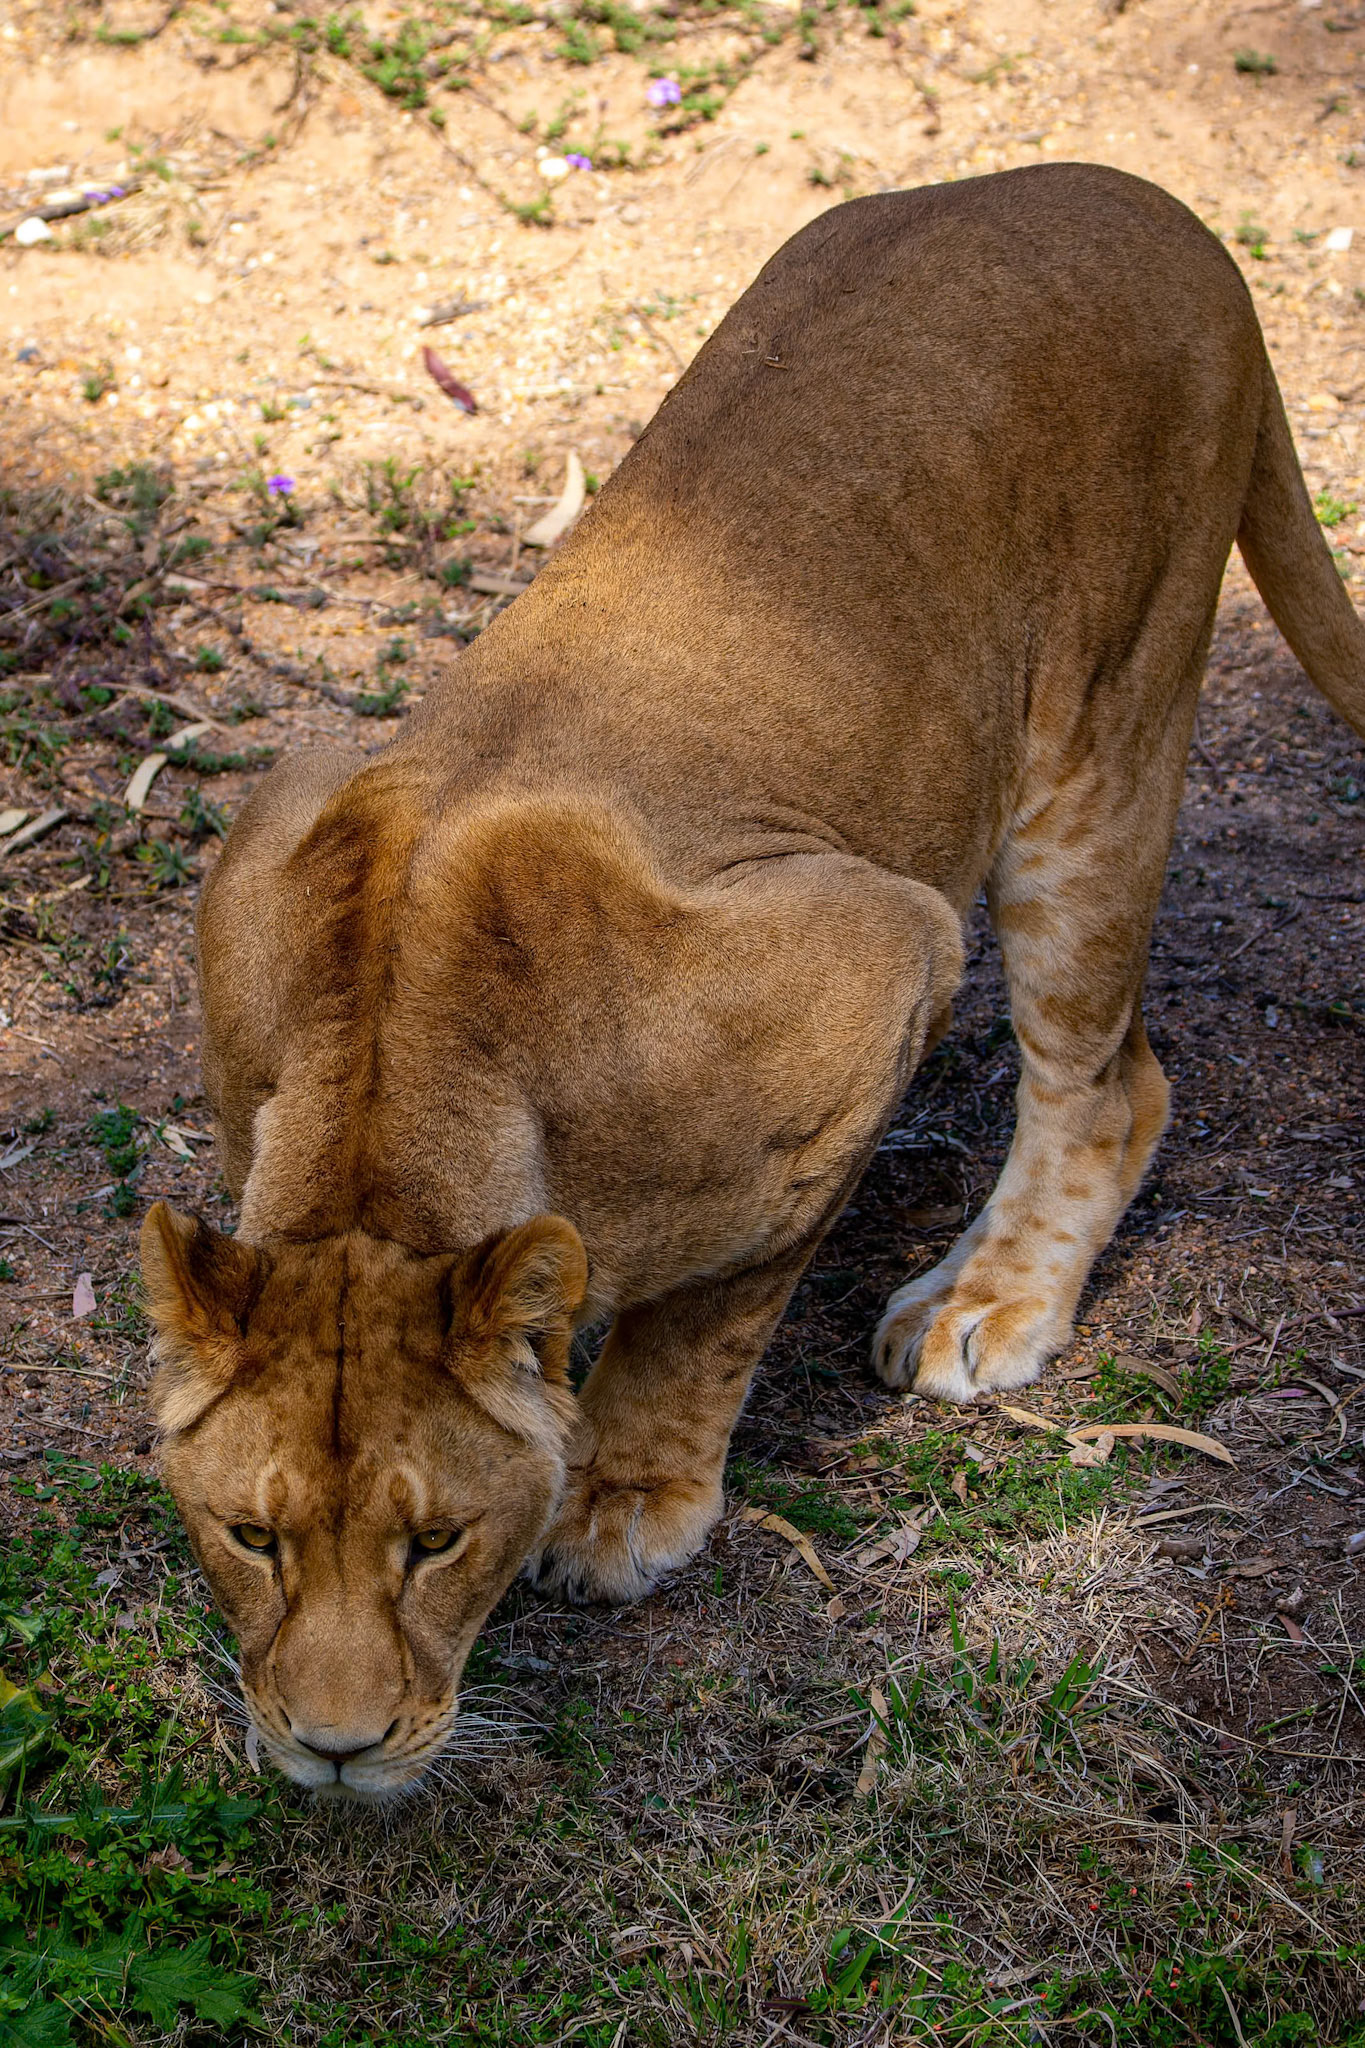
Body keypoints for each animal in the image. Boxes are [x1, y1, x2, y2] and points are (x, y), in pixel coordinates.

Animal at [142, 164, 1365, 1797]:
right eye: (253, 1536)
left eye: (437, 1543)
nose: (334, 1751)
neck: (394, 1069)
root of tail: (1135, 194)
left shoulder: (882, 962)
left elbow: (713, 1300)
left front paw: (624, 1493)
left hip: (1102, 738)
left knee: (1109, 1080)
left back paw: (990, 1299)